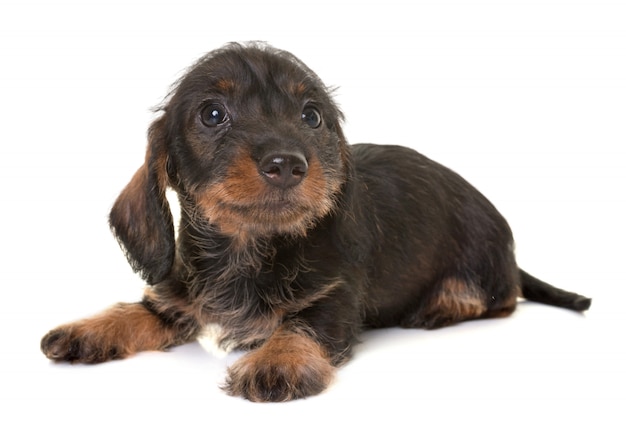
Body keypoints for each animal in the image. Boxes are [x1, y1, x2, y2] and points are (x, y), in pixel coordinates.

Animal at [40, 42, 588, 400]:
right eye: (212, 114)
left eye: (311, 116)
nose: (287, 163)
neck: (247, 250)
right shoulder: (177, 297)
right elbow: (139, 311)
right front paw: (88, 329)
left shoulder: (336, 299)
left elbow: (302, 325)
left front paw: (278, 360)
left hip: (483, 263)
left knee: (502, 298)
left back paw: (443, 304)